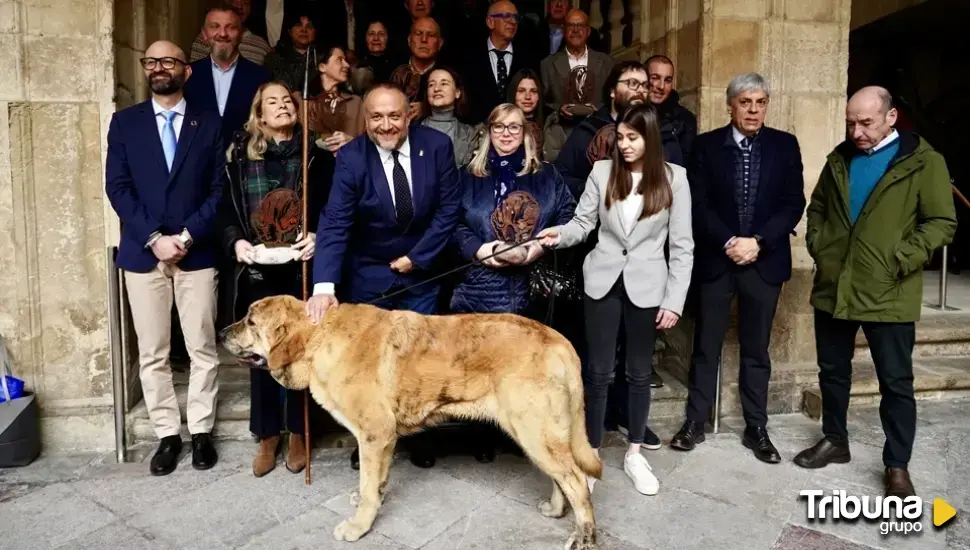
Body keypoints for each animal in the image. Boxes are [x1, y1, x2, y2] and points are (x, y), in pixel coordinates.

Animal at [220, 298, 600, 550]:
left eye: (251, 322)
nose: (221, 332)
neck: (318, 339)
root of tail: (561, 340)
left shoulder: (375, 435)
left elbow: (368, 487)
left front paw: (359, 526)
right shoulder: (380, 441)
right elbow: (372, 483)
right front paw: (370, 498)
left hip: (534, 432)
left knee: (578, 483)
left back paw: (584, 538)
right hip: (543, 436)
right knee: (563, 478)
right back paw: (555, 510)